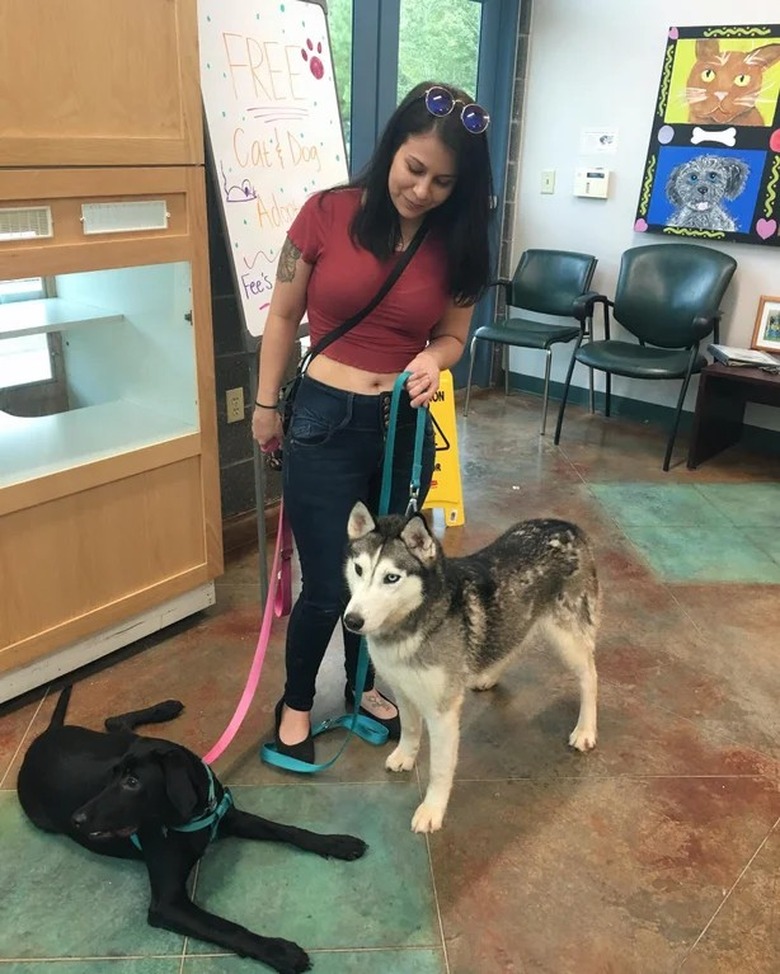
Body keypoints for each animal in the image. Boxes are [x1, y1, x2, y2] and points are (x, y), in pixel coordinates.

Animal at [16, 692, 368, 972]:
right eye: (112, 777)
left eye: (132, 782)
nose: (77, 818)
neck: (191, 816)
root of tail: (42, 737)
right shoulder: (167, 904)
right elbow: (227, 928)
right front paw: (278, 950)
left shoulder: (231, 818)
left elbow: (287, 830)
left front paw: (336, 842)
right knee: (114, 721)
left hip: (118, 743)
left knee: (116, 722)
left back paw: (166, 707)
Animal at [342, 508, 596, 836]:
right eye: (359, 569)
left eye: (391, 578)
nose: (352, 620)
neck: (415, 621)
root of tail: (568, 525)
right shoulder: (403, 690)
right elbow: (410, 729)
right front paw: (405, 756)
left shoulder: (442, 712)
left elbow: (439, 768)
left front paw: (432, 810)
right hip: (516, 617)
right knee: (513, 642)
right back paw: (489, 675)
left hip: (565, 637)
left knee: (589, 675)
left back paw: (586, 730)